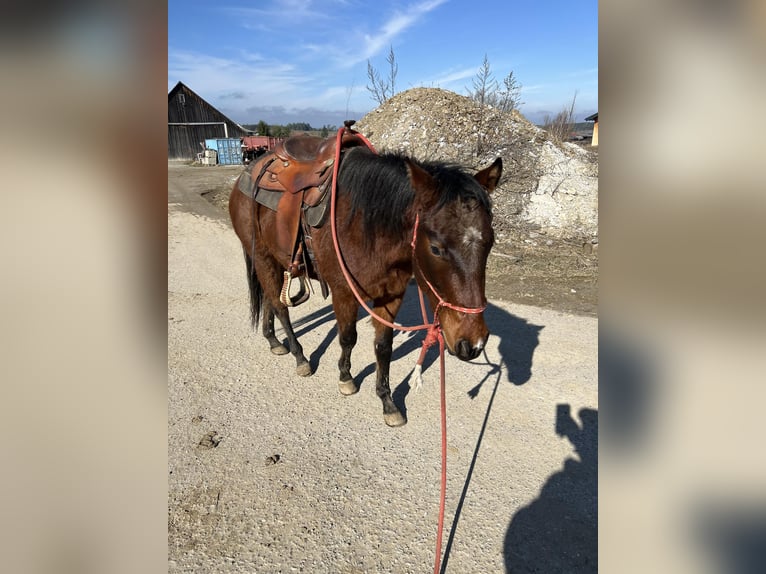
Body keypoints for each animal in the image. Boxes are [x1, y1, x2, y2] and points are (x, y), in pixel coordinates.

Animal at [228, 141, 504, 428]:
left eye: (490, 243)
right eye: (436, 248)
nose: (473, 344)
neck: (366, 227)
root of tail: (248, 172)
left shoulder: (391, 295)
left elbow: (383, 348)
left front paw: (387, 401)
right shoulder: (344, 292)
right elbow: (348, 338)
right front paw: (346, 378)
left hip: (275, 259)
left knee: (270, 300)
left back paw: (273, 340)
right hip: (262, 256)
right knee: (280, 306)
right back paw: (300, 356)